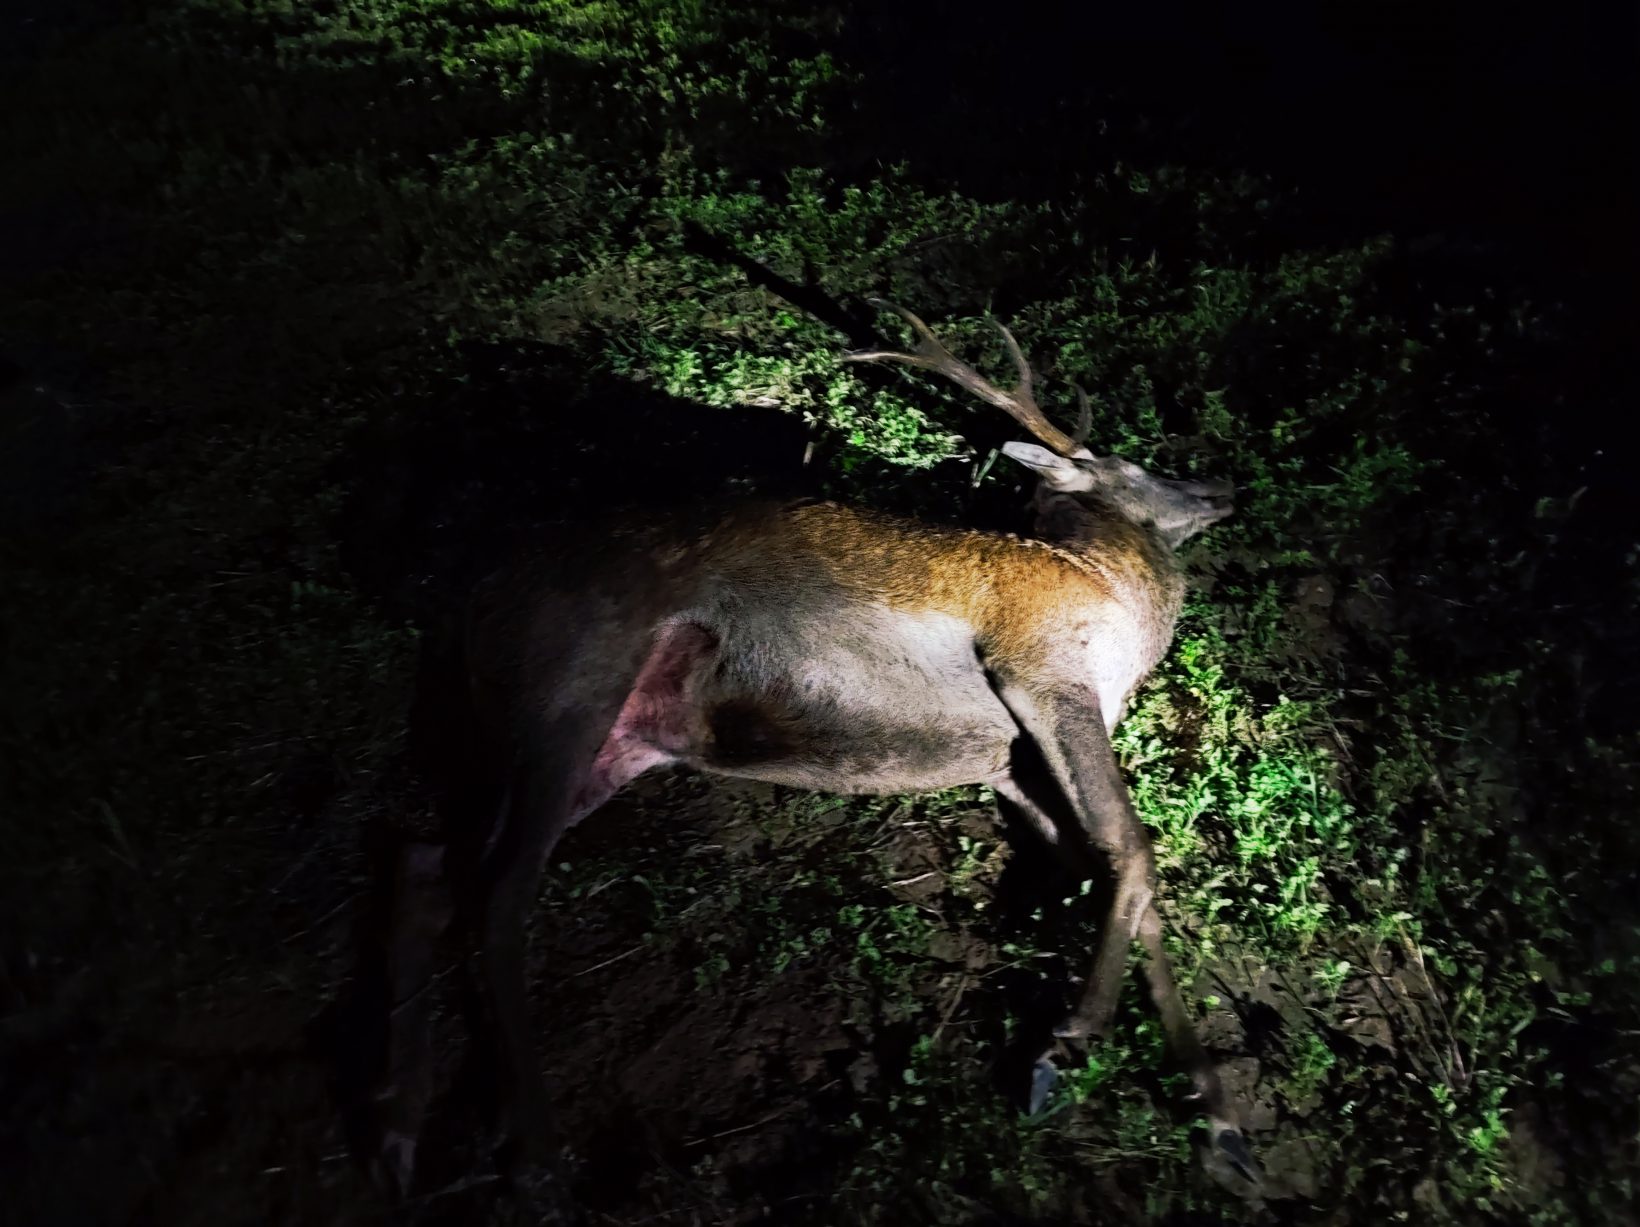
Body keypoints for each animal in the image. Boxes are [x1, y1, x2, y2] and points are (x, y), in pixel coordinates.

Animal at [369, 301, 1252, 1200]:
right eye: (1131, 462)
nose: (1224, 489)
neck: (1112, 592)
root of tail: (470, 592)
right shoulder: (1043, 668)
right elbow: (1133, 849)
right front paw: (1064, 1050)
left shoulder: (1008, 763)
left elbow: (1115, 876)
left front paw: (1221, 1123)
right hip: (573, 683)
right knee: (499, 885)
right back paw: (532, 1153)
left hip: (599, 740)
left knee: (425, 856)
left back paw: (397, 1131)